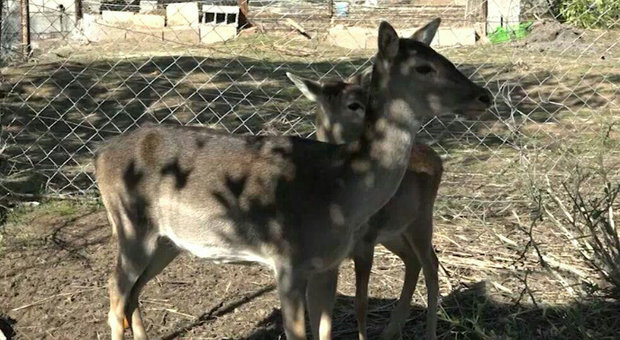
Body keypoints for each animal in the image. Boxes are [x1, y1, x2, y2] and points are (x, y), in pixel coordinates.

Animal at [94, 19, 490, 340]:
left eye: (441, 55)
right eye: (424, 67)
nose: (483, 95)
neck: (341, 192)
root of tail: (100, 156)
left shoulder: (328, 263)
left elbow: (326, 331)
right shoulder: (286, 260)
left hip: (166, 241)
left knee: (131, 295)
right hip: (130, 225)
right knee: (114, 296)